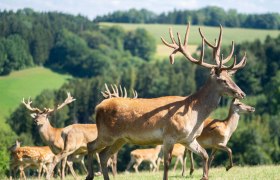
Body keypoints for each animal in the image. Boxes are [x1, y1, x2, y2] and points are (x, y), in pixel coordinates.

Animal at [86, 22, 246, 180]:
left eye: (230, 77)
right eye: (223, 80)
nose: (241, 93)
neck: (194, 114)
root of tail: (98, 107)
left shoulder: (189, 139)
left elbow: (205, 155)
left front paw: (204, 176)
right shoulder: (169, 135)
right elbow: (167, 163)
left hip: (121, 139)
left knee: (104, 155)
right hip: (106, 133)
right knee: (91, 146)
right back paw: (89, 175)